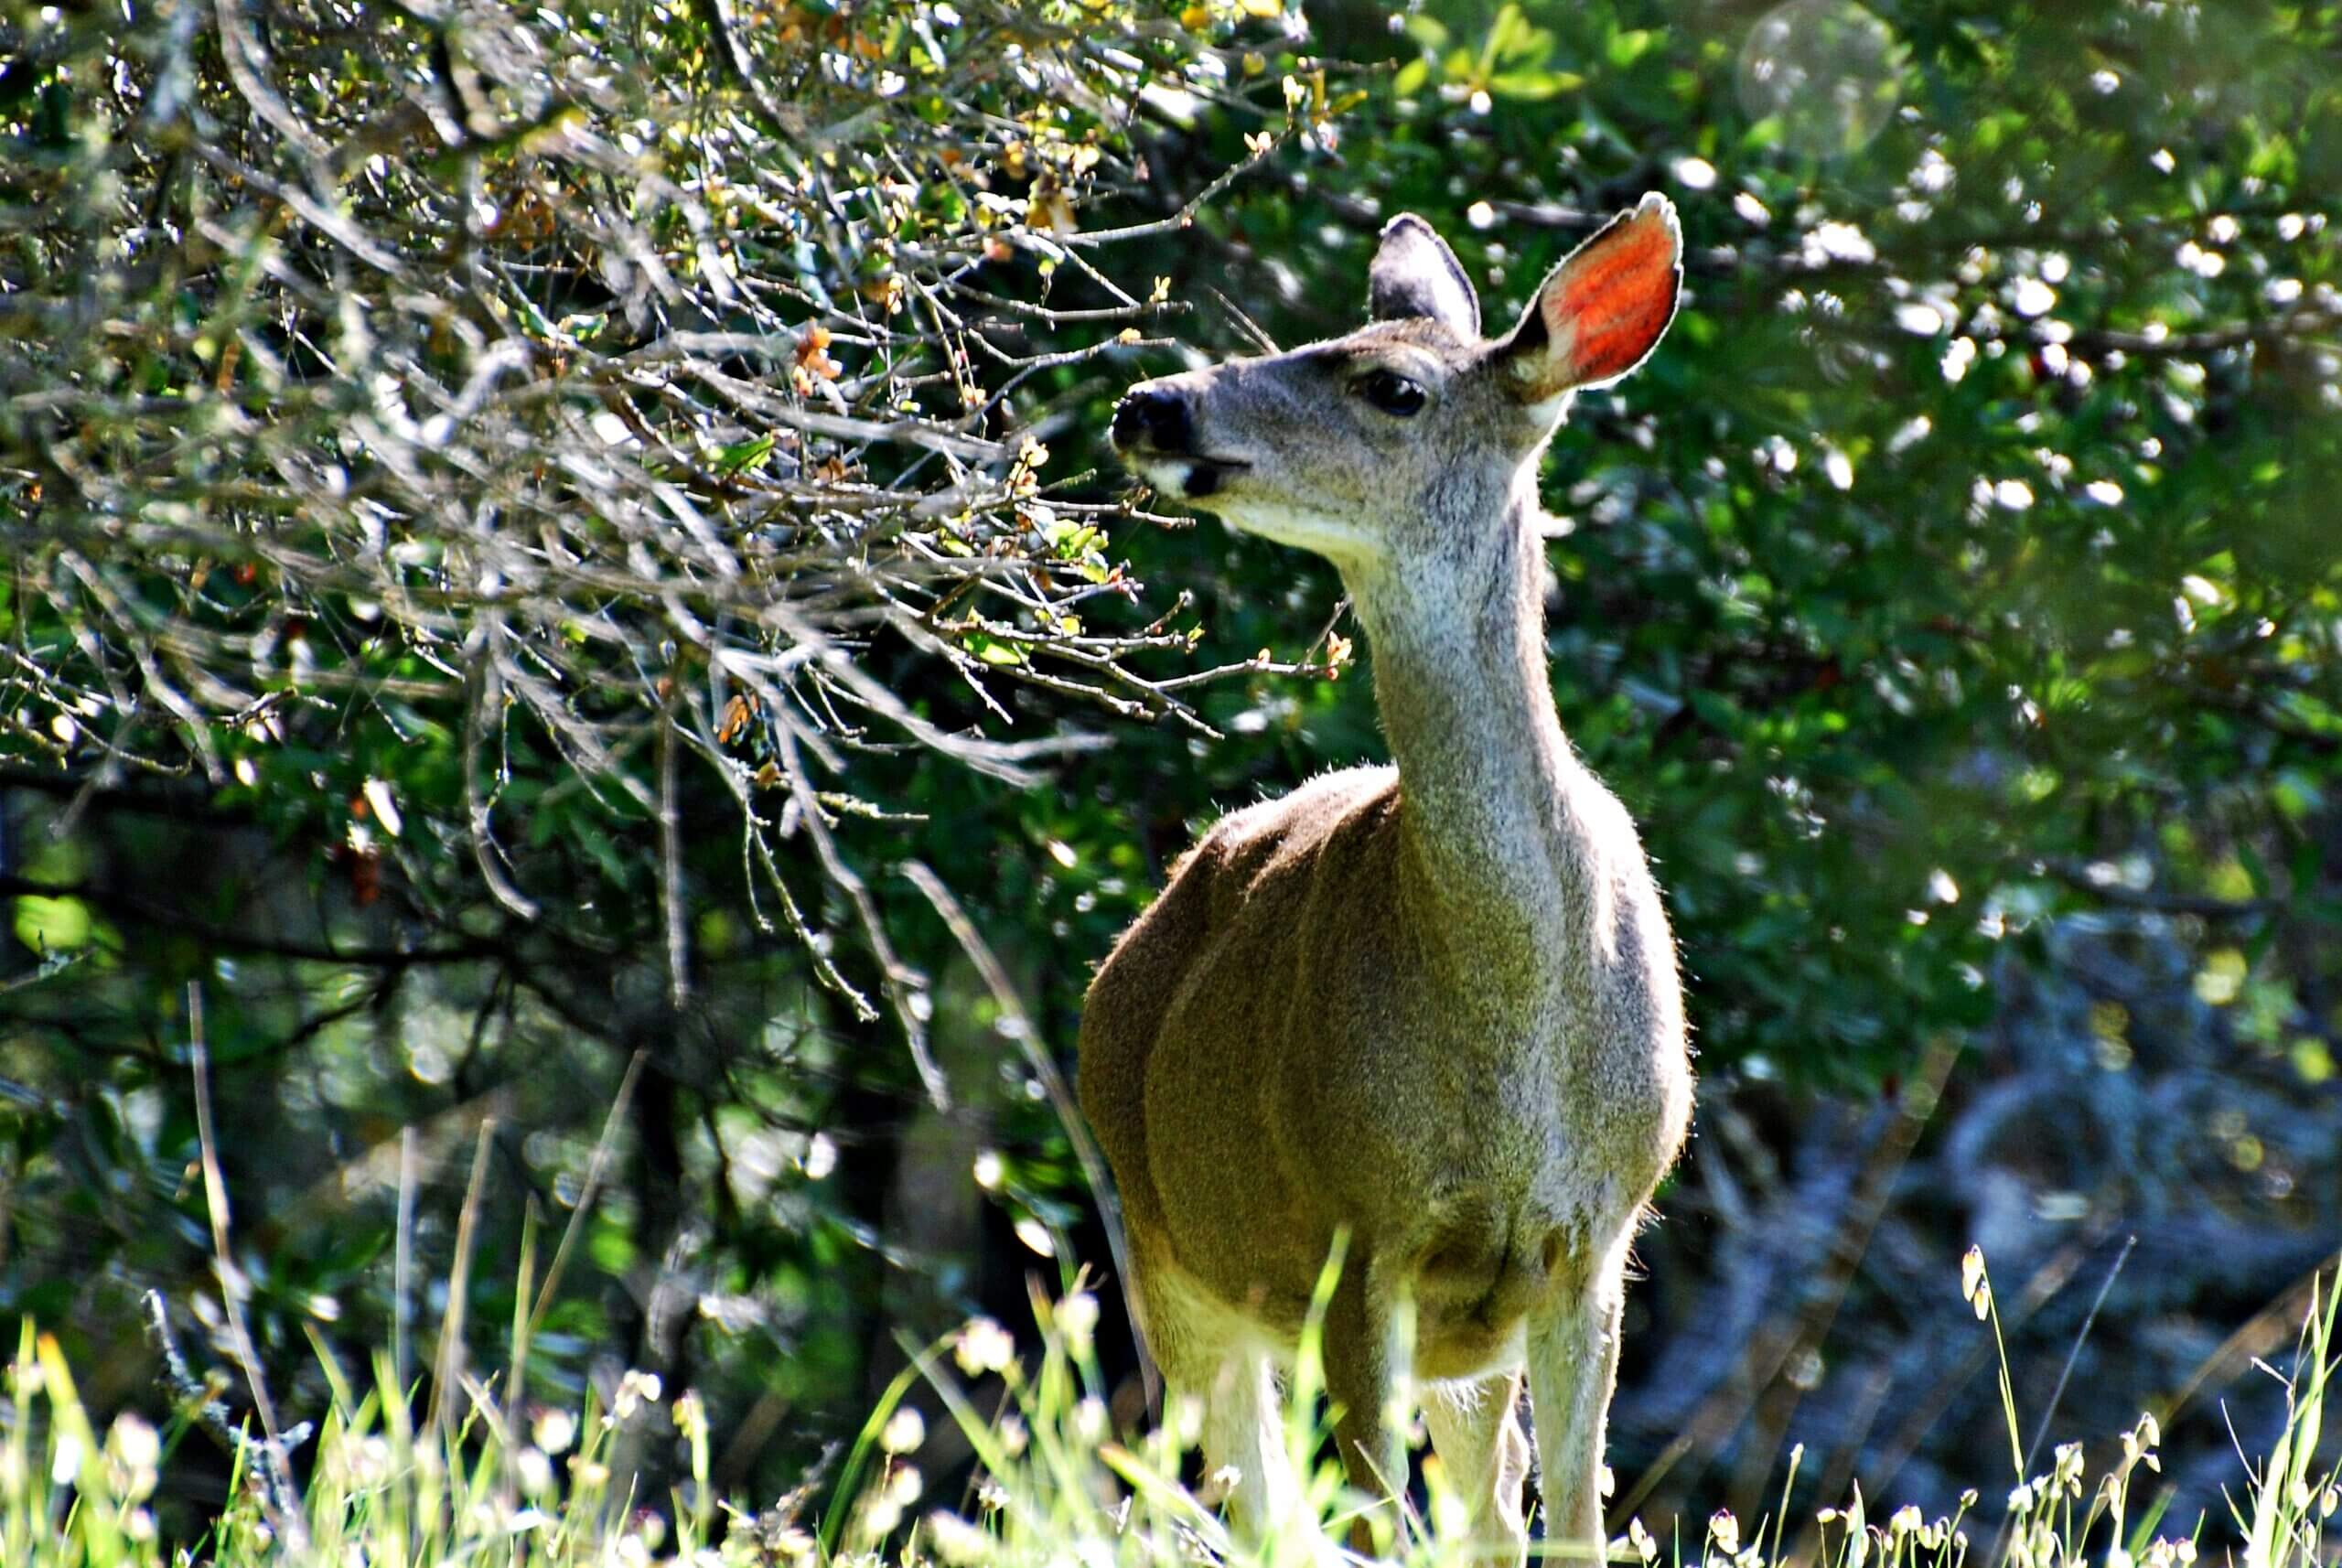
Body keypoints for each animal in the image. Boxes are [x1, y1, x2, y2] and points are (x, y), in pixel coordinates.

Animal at [1077, 199, 1704, 1568]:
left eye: (1394, 386)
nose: (1152, 403)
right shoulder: (1354, 1239)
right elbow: (1372, 1523)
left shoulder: (1594, 1245)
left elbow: (1570, 1522)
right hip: (1165, 1249)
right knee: (1251, 1500)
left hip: (1451, 1341)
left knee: (1484, 1500)